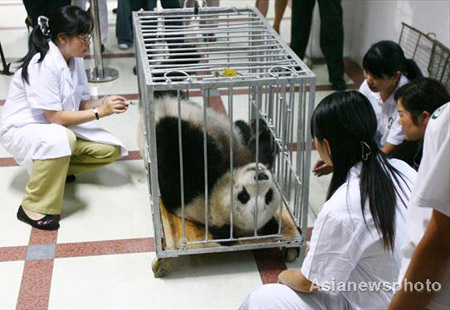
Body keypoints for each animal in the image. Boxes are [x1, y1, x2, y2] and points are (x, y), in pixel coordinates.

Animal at [155, 95, 282, 241]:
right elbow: (262, 151)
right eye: (244, 195)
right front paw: (262, 129)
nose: (262, 176)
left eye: (267, 196)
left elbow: (175, 149)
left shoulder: (191, 194)